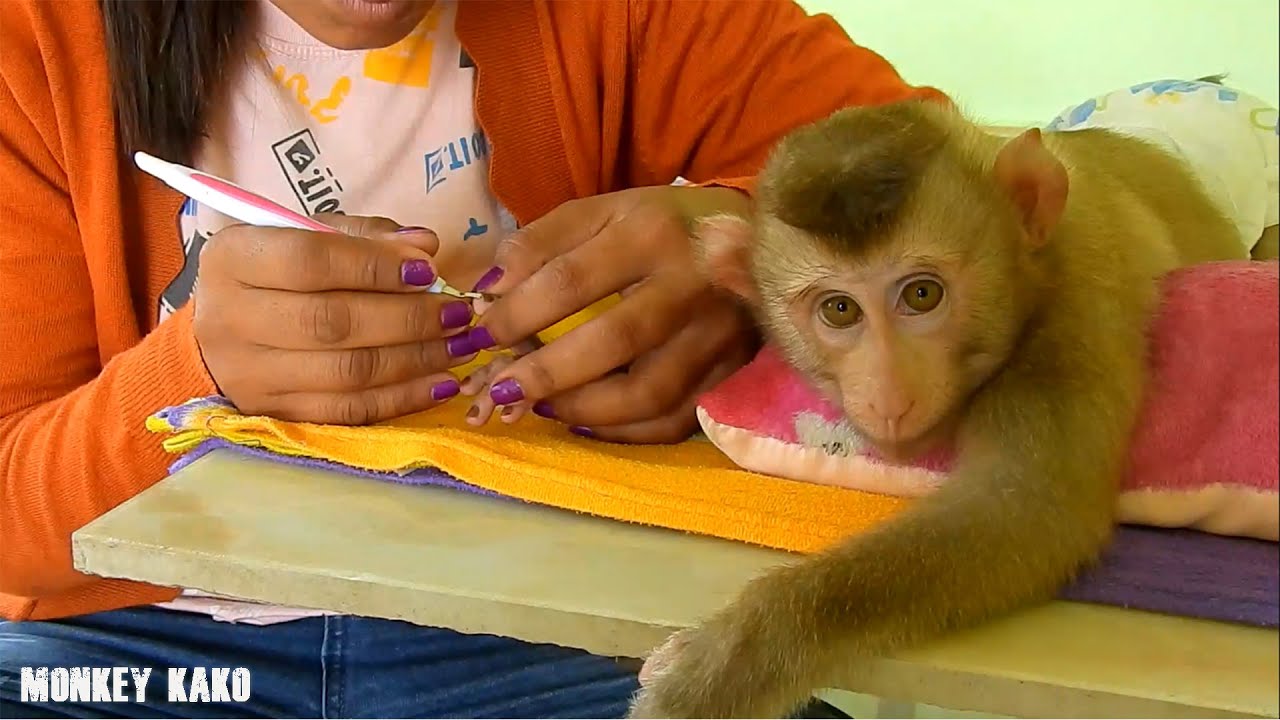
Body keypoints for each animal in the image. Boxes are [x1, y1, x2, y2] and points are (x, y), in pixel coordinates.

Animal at [625, 97, 1251, 718]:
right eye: (839, 309)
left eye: (922, 294)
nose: (888, 396)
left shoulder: (1077, 303)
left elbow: (1022, 509)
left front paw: (717, 670)